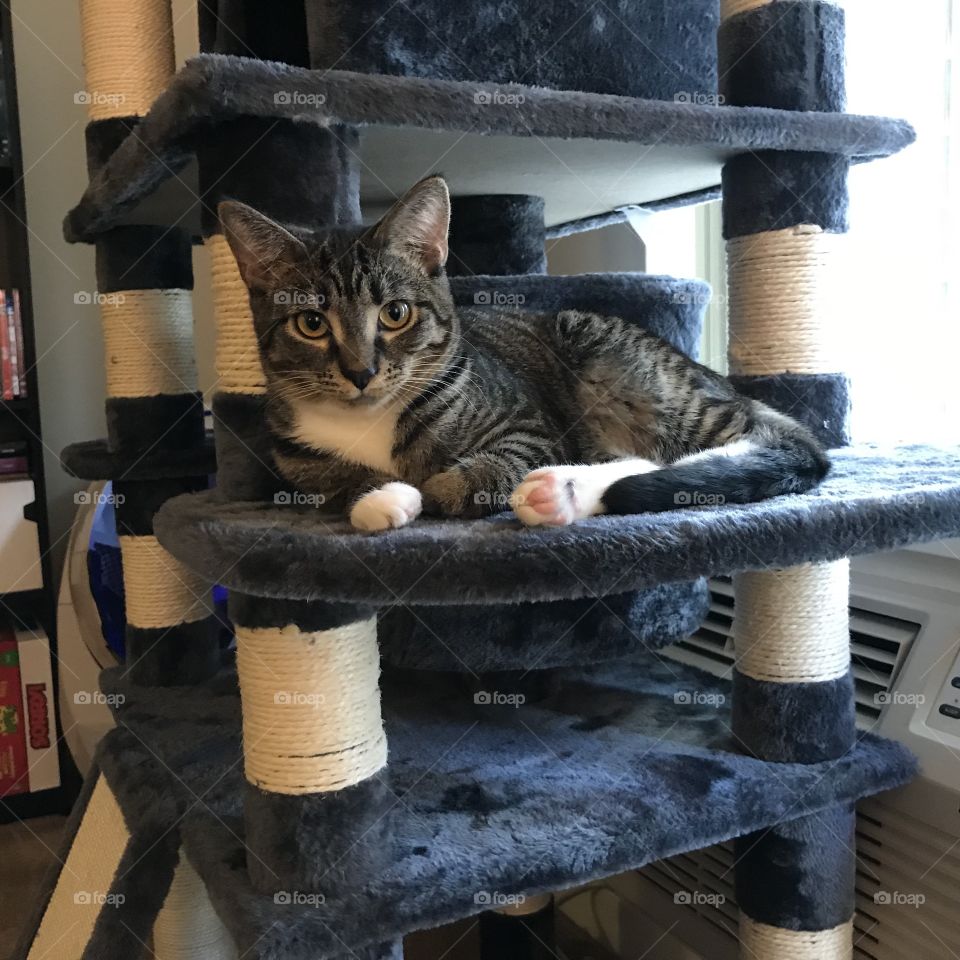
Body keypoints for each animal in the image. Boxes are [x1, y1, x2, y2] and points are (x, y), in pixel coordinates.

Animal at [221, 174, 828, 532]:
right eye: (311, 324)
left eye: (395, 313)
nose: (361, 371)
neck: (371, 419)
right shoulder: (292, 455)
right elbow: (328, 480)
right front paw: (379, 496)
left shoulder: (527, 423)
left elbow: (492, 462)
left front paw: (436, 487)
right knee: (652, 462)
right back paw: (562, 494)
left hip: (619, 363)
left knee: (754, 449)